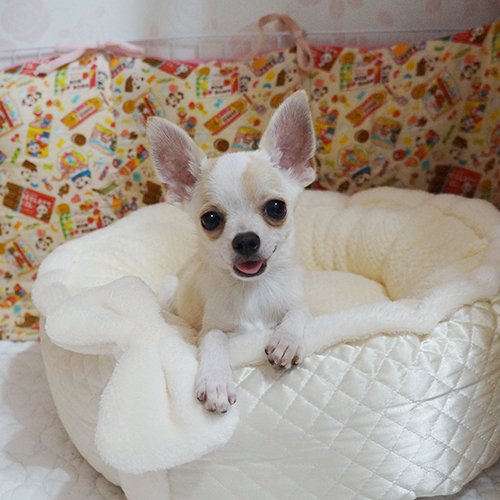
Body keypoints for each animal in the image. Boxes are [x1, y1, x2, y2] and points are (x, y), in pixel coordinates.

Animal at [147, 90, 316, 414]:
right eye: (210, 219)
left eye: (277, 208)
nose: (246, 240)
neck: (254, 290)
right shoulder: (213, 327)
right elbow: (213, 339)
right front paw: (215, 381)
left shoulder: (298, 301)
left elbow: (299, 312)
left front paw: (287, 339)